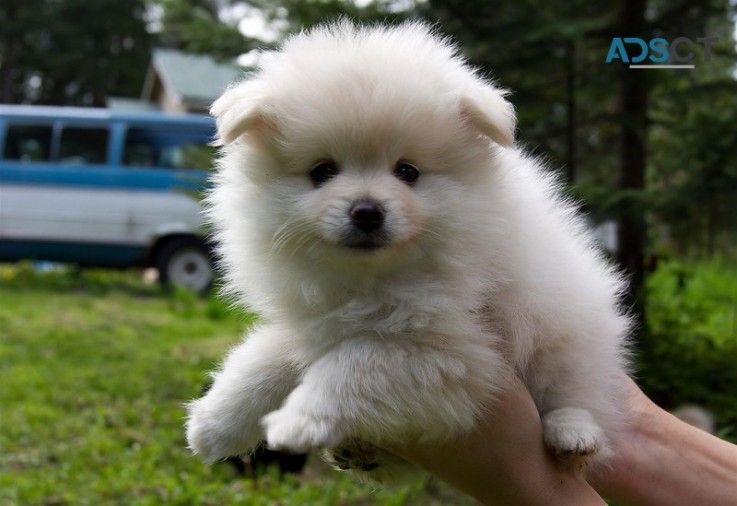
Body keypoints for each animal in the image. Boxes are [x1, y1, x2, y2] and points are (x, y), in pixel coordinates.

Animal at [184, 20, 628, 482]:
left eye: (407, 171)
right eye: (322, 171)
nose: (366, 211)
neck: (374, 277)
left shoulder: (450, 353)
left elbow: (356, 364)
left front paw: (299, 420)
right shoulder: (314, 324)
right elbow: (265, 361)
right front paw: (215, 422)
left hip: (566, 338)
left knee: (578, 390)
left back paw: (573, 433)